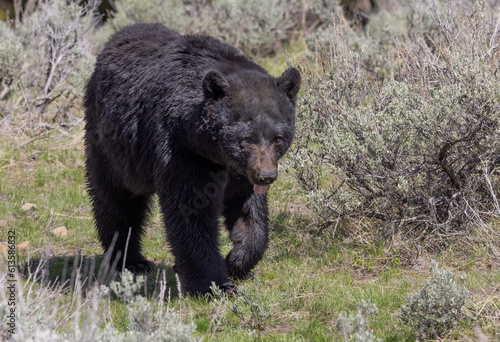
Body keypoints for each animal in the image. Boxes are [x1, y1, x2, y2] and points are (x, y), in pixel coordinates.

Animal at [84, 23, 300, 294]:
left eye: (278, 138)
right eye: (246, 138)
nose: (267, 176)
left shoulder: (239, 171)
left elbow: (248, 209)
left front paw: (238, 260)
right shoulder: (182, 149)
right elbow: (191, 210)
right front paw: (214, 284)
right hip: (111, 142)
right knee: (116, 199)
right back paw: (129, 260)